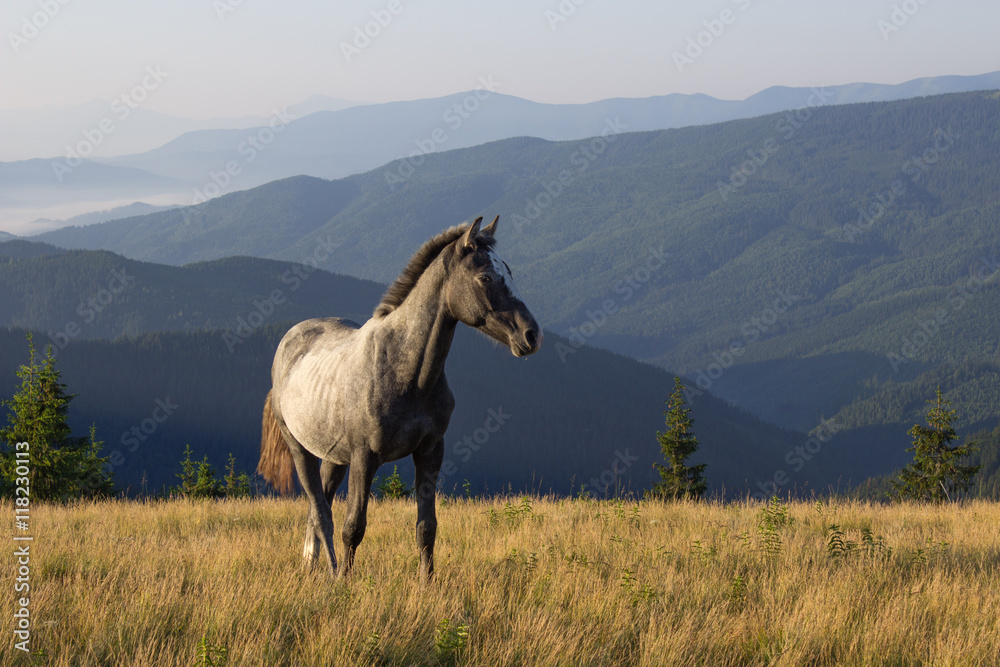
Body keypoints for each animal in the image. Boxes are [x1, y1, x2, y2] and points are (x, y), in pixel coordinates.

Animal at [258, 218, 540, 580]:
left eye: (509, 270)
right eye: (485, 277)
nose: (532, 335)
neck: (405, 372)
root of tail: (288, 343)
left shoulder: (430, 452)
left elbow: (426, 527)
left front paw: (427, 584)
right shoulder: (364, 458)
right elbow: (354, 527)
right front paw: (345, 582)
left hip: (334, 458)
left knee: (317, 509)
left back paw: (311, 567)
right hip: (299, 449)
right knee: (321, 514)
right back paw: (330, 572)